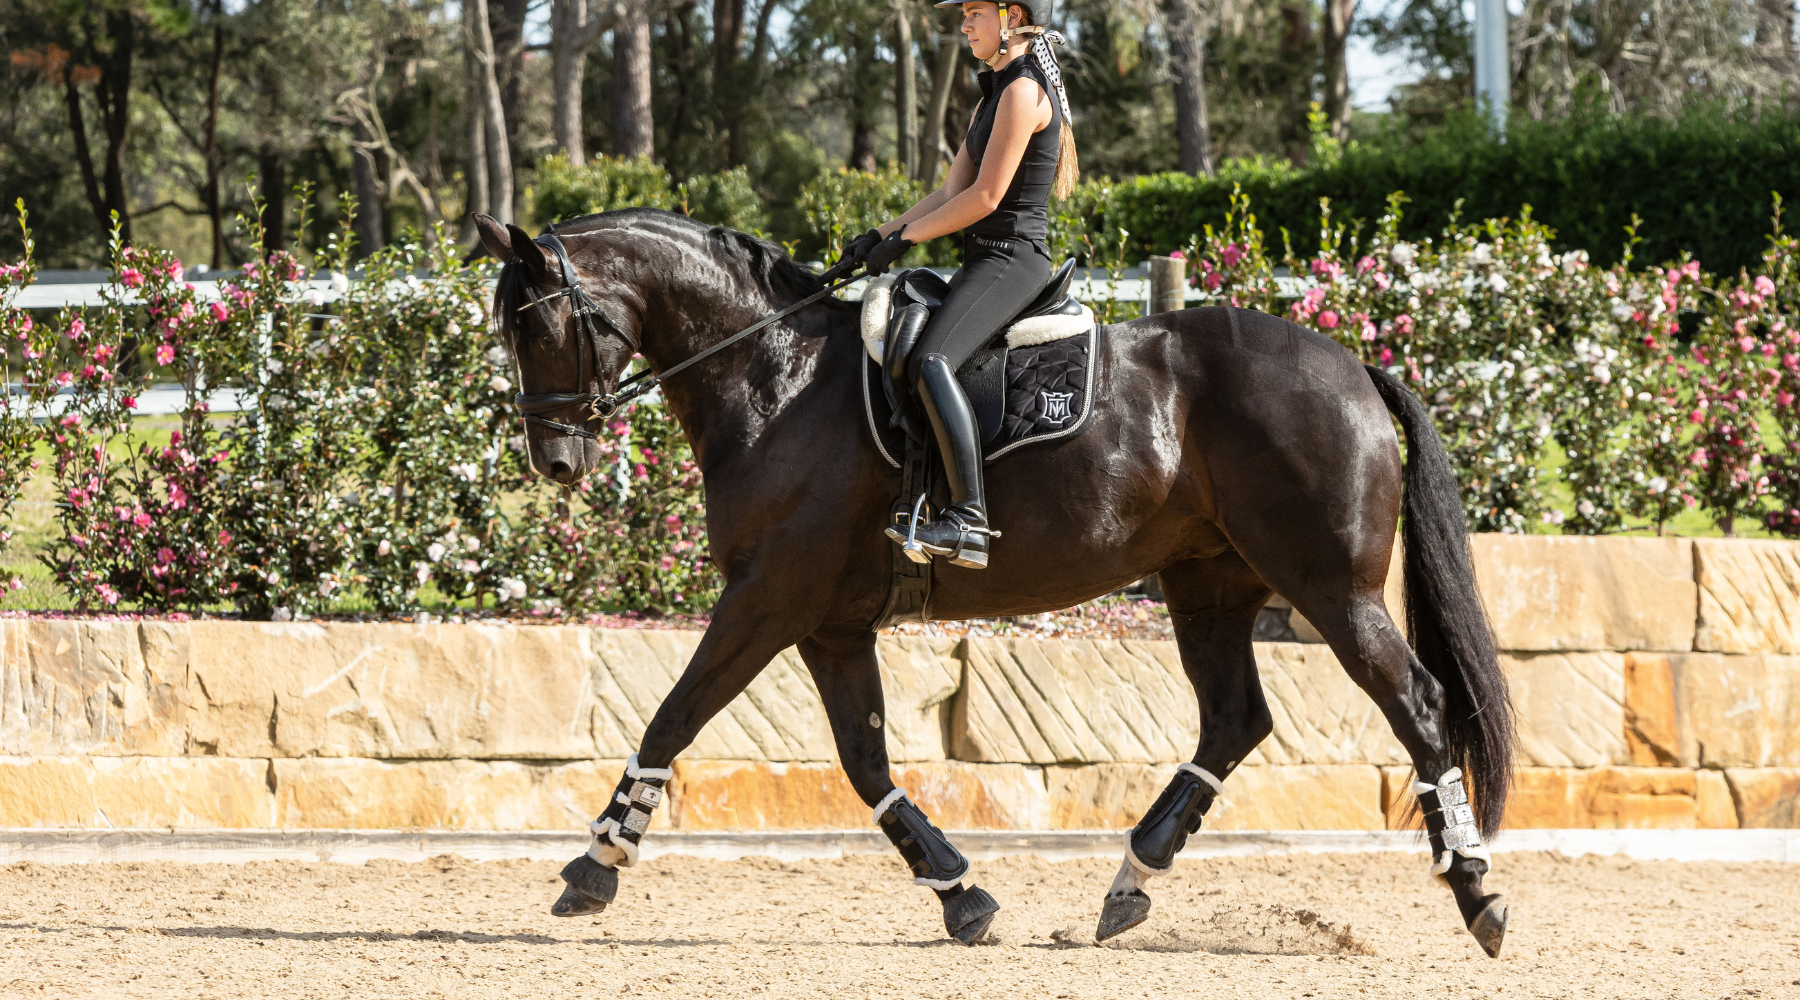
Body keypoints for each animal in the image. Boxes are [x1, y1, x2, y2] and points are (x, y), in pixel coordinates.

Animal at [472, 207, 1516, 957]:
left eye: (536, 324)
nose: (553, 461)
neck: (775, 375)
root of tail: (1354, 366)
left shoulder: (766, 599)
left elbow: (673, 717)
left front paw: (596, 862)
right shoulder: (830, 624)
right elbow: (865, 763)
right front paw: (960, 894)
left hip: (1331, 588)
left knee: (1417, 705)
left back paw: (1478, 893)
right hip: (1209, 587)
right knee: (1235, 720)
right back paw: (1129, 883)